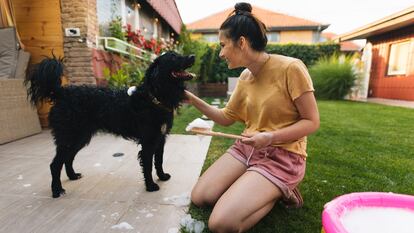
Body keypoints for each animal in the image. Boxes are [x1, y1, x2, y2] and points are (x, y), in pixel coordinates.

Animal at [25, 52, 195, 198]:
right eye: (173, 57)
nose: (193, 56)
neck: (154, 97)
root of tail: (62, 93)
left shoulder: (160, 138)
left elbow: (158, 161)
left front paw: (162, 176)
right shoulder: (148, 142)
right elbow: (148, 165)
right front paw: (151, 186)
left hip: (80, 138)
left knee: (68, 158)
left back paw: (72, 176)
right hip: (69, 137)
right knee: (54, 165)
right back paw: (56, 190)